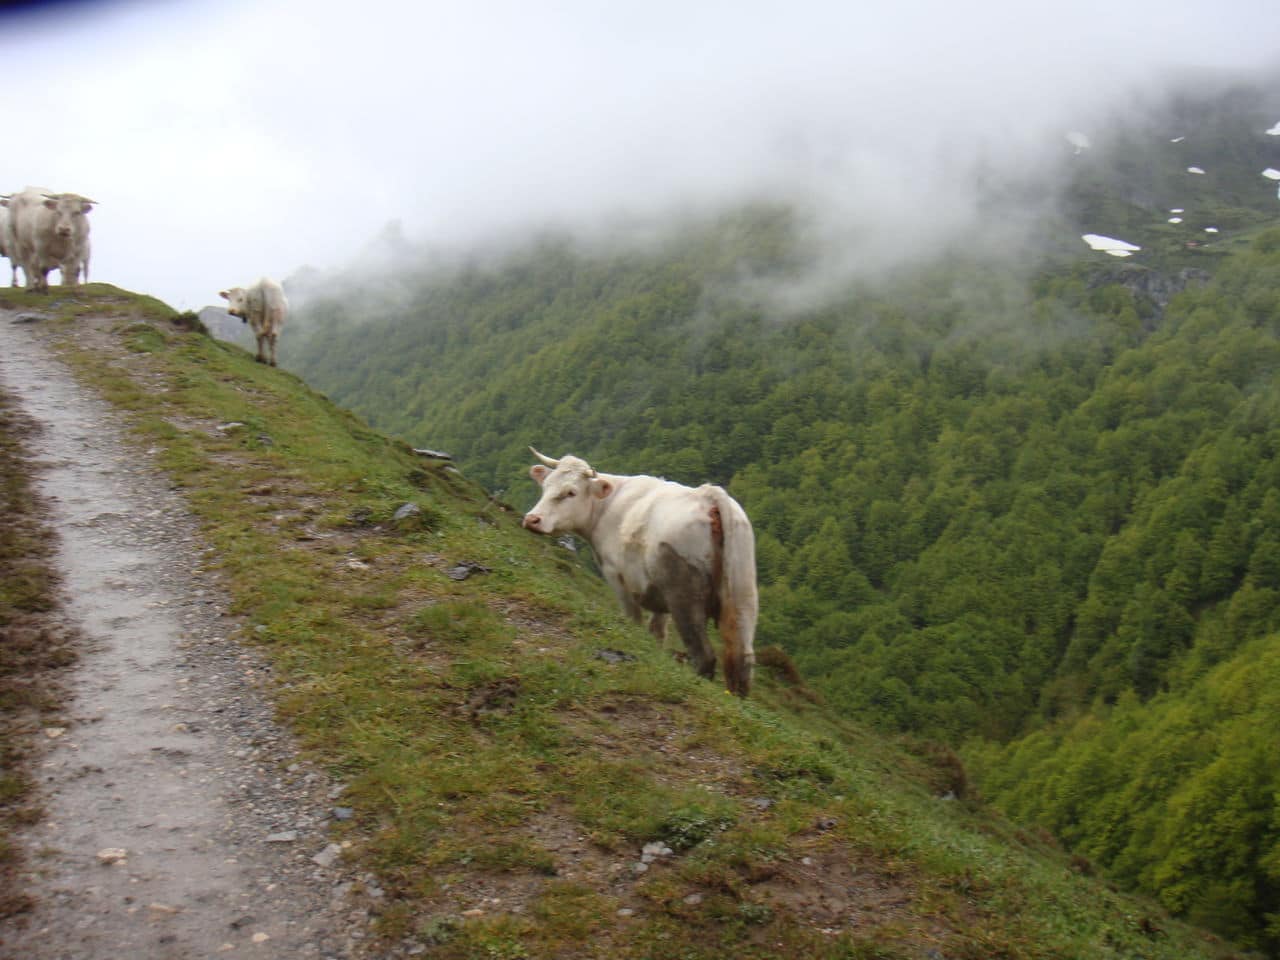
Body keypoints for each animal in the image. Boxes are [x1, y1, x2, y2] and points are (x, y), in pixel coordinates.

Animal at [522, 450, 757, 701]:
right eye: (546, 485)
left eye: (571, 492)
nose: (532, 519)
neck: (606, 508)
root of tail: (708, 495)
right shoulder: (658, 593)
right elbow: (657, 630)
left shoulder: (616, 575)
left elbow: (633, 618)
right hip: (743, 599)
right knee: (742, 662)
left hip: (685, 600)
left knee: (704, 655)